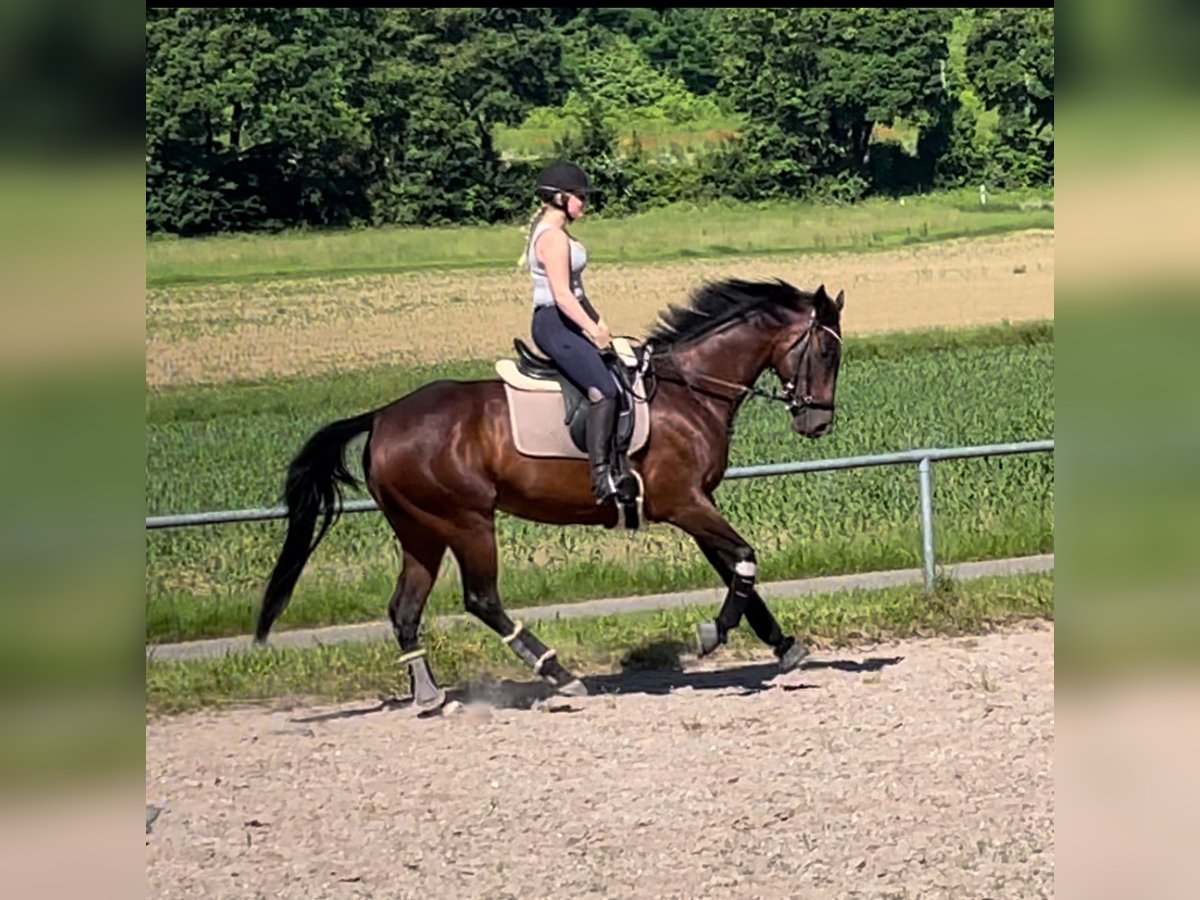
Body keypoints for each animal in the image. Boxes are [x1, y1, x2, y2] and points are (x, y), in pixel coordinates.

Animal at [255, 277, 844, 710]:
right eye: (825, 353)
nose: (817, 422)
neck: (690, 391)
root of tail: (381, 418)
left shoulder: (697, 503)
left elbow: (735, 570)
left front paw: (783, 645)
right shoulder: (684, 503)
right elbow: (744, 557)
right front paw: (711, 634)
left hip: (421, 529)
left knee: (404, 608)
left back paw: (430, 695)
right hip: (467, 521)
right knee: (482, 598)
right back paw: (558, 673)